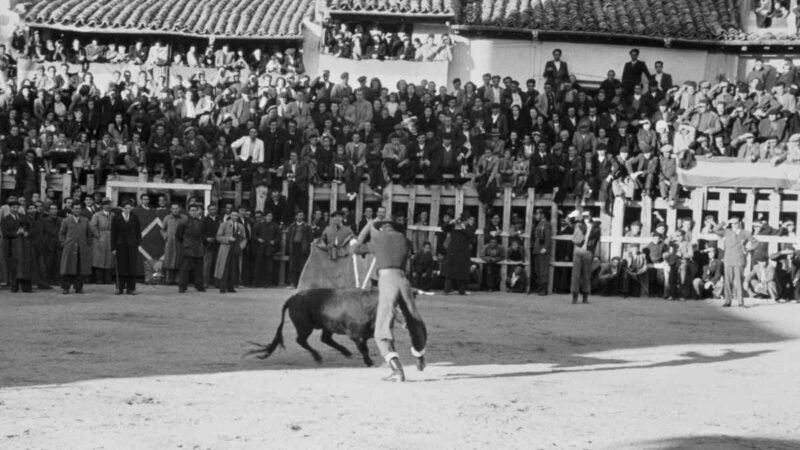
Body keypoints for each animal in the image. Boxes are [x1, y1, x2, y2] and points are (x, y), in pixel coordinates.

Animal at [247, 288, 428, 366]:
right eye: (396, 306)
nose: (407, 323)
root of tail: (292, 298)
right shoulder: (357, 336)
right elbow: (364, 349)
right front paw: (369, 361)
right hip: (305, 326)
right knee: (301, 340)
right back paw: (318, 357)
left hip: (326, 326)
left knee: (325, 338)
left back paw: (345, 352)